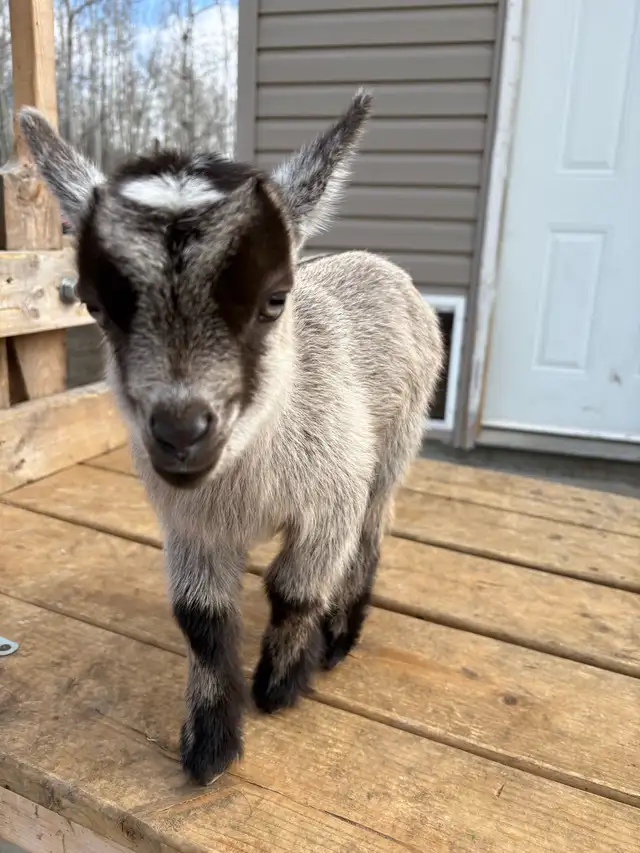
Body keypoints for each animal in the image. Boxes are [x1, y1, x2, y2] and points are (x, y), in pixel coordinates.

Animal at [20, 91, 444, 785]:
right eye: (95, 305)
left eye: (274, 299)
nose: (180, 431)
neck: (247, 481)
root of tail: (378, 262)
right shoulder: (190, 524)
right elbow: (201, 621)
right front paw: (210, 743)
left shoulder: (330, 498)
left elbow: (295, 590)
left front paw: (279, 686)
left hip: (397, 439)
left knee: (373, 530)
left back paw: (342, 635)